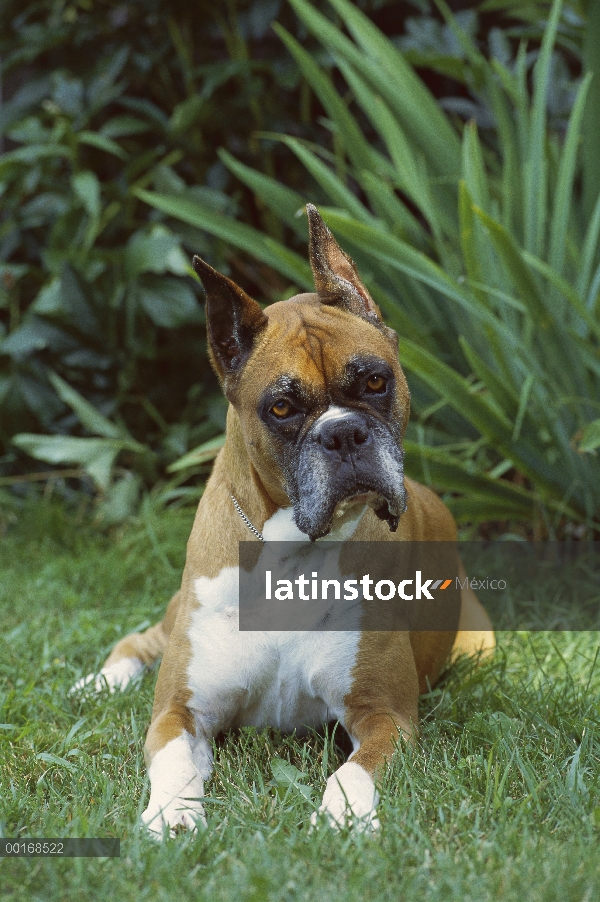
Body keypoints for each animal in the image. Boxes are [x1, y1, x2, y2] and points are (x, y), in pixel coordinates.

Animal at [77, 203, 494, 832]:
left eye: (376, 381)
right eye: (281, 407)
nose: (343, 433)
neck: (291, 554)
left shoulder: (384, 715)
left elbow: (354, 771)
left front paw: (342, 817)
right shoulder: (180, 711)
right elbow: (174, 761)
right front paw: (172, 817)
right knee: (137, 640)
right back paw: (99, 681)